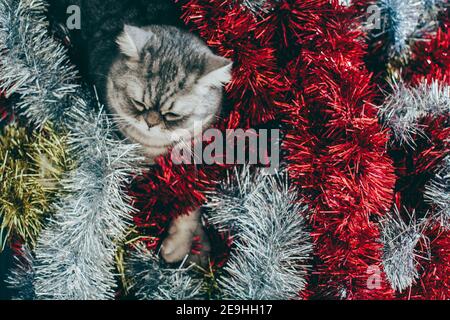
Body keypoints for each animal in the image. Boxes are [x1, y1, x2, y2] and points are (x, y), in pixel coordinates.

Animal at [48, 0, 234, 264]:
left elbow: (190, 206)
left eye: (172, 115)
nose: (151, 122)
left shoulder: (194, 163)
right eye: (138, 104)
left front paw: (191, 245)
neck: (155, 151)